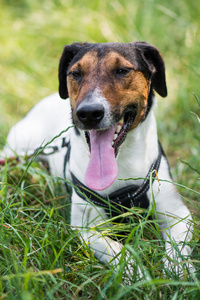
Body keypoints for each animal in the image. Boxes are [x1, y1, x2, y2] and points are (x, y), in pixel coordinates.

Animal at [2, 41, 194, 278]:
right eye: (76, 73)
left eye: (122, 70)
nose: (89, 113)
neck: (122, 162)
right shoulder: (85, 228)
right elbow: (116, 249)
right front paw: (135, 273)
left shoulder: (178, 213)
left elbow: (177, 249)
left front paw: (177, 273)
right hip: (16, 149)